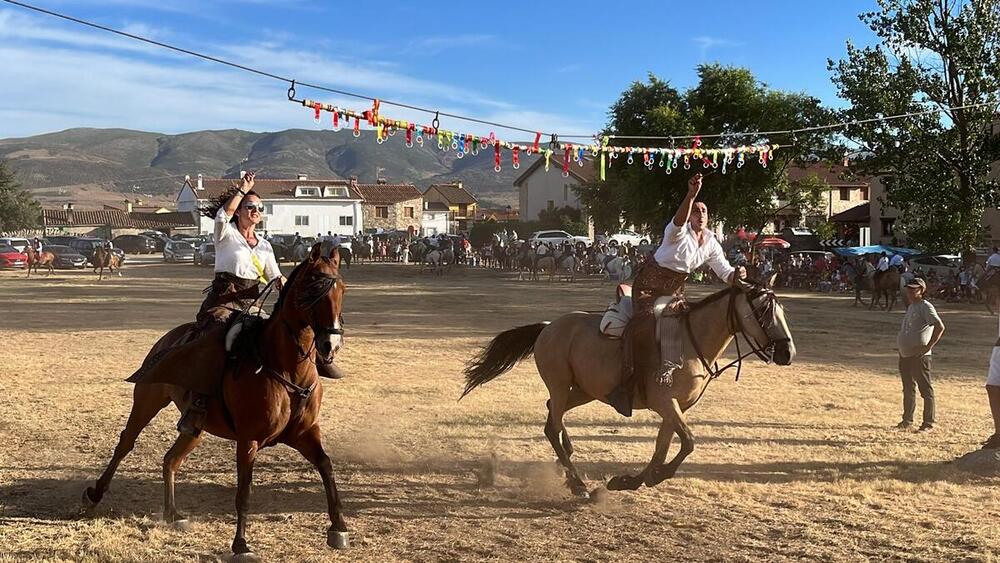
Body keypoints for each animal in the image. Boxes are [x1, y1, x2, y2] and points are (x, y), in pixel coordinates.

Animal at [460, 276, 796, 498]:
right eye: (763, 311)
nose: (787, 353)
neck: (688, 341)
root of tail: (547, 327)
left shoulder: (675, 409)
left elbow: (663, 449)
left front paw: (629, 481)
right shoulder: (666, 404)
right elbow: (687, 443)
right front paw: (646, 479)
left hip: (583, 391)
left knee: (552, 416)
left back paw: (569, 460)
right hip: (560, 384)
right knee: (551, 425)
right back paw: (578, 483)